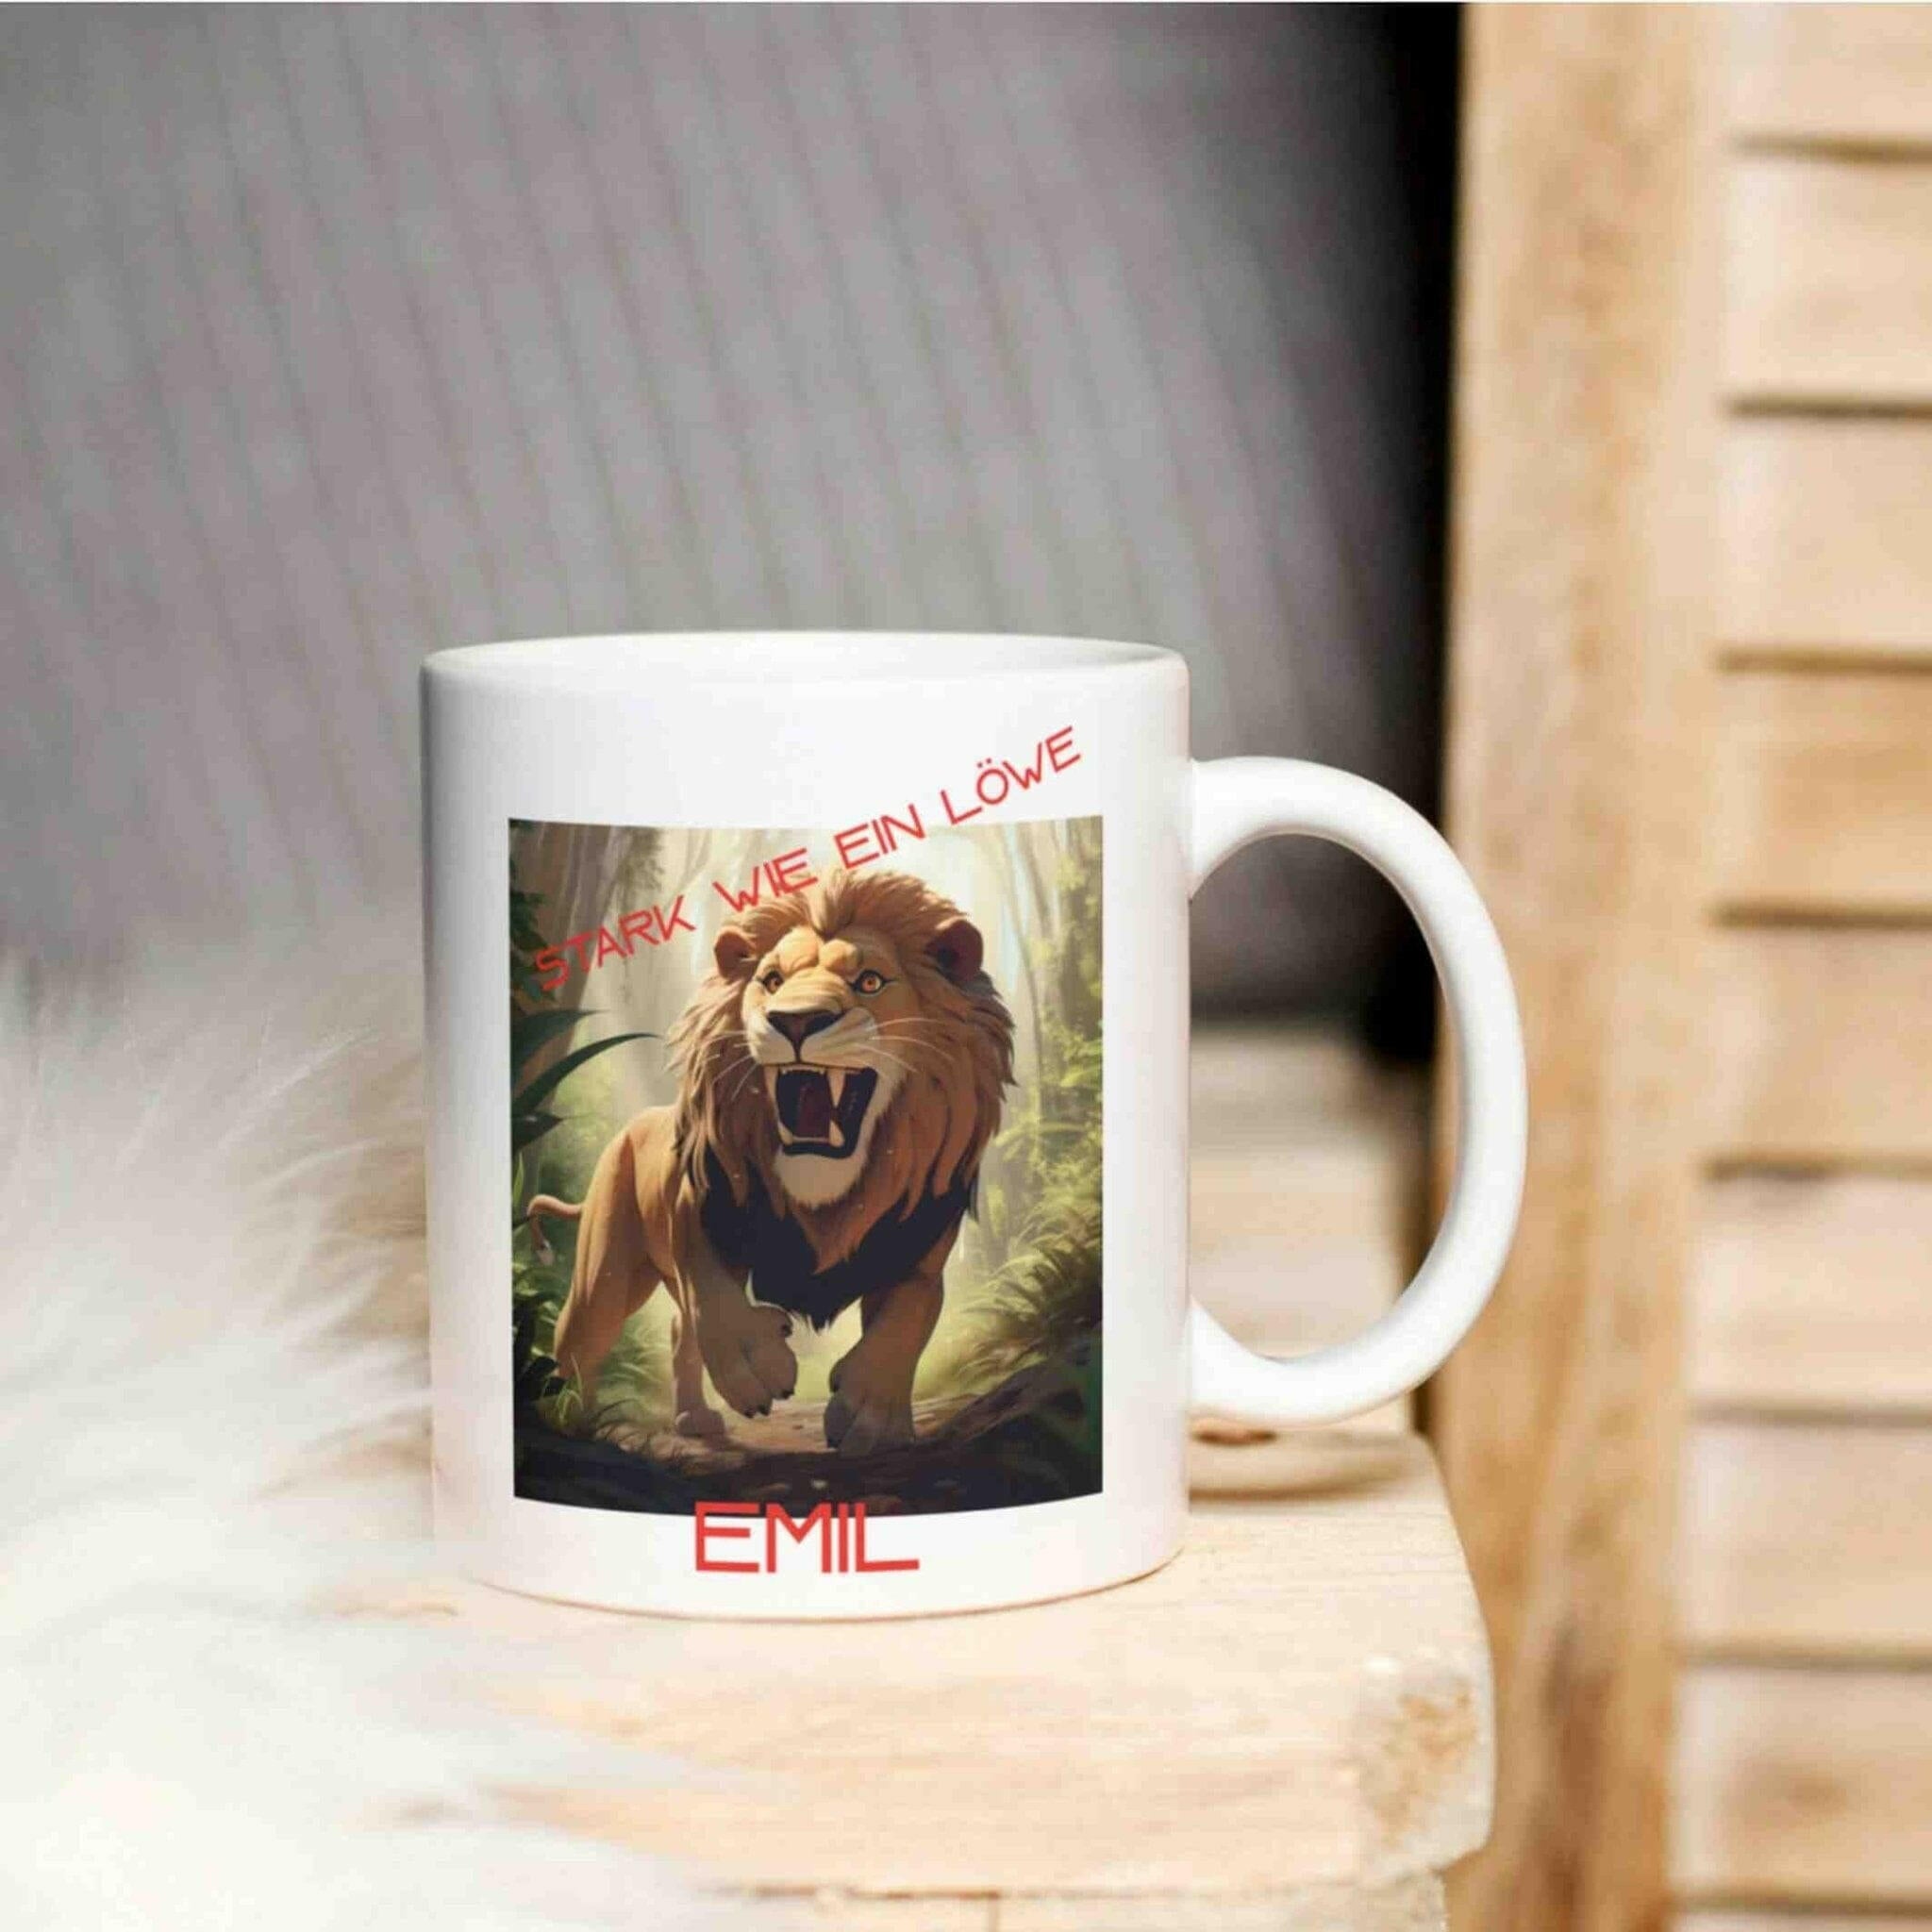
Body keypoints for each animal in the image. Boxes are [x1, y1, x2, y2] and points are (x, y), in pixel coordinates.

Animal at [526, 867, 1014, 1456]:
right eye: (773, 980)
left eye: (870, 981)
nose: (795, 1022)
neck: (825, 1197)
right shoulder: (700, 1210)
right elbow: (713, 1297)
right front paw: (757, 1367)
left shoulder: (915, 1252)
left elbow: (909, 1320)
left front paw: (873, 1415)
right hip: (604, 1275)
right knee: (579, 1339)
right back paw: (571, 1418)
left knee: (676, 1332)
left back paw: (693, 1418)